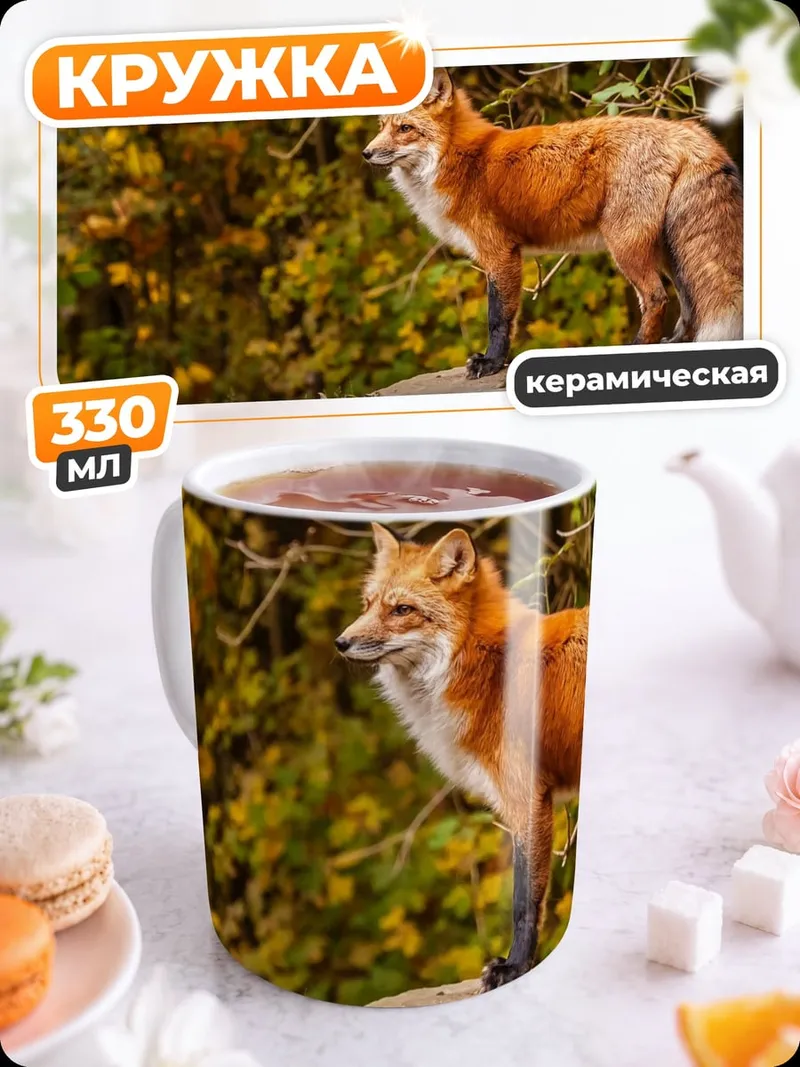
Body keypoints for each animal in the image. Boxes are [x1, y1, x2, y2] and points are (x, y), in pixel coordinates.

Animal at [335, 523, 589, 991]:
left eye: (402, 609)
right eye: (368, 604)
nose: (341, 642)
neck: (486, 665)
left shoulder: (526, 799)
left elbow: (523, 901)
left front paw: (514, 967)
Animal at [363, 68, 744, 379]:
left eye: (405, 128)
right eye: (382, 126)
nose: (366, 153)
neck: (459, 161)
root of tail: (687, 130)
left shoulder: (500, 253)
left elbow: (498, 318)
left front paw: (491, 363)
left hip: (626, 244)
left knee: (656, 297)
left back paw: (637, 347)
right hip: (670, 248)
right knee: (689, 303)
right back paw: (674, 342)